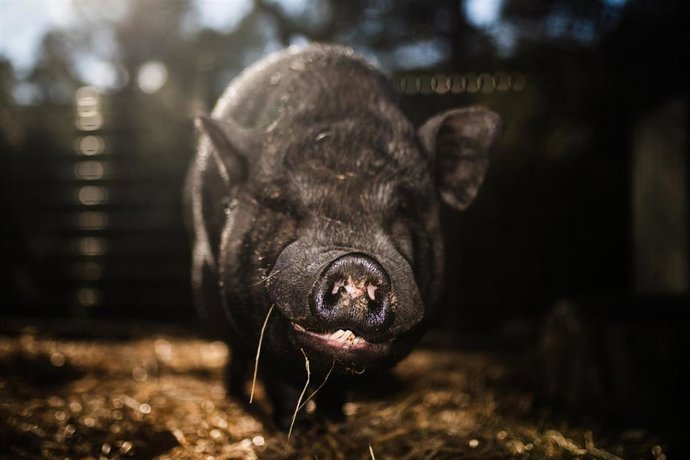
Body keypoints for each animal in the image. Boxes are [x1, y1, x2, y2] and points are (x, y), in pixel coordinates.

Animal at [185, 44, 501, 428]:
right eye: (280, 201)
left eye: (405, 207)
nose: (357, 264)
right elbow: (277, 373)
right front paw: (295, 427)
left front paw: (334, 423)